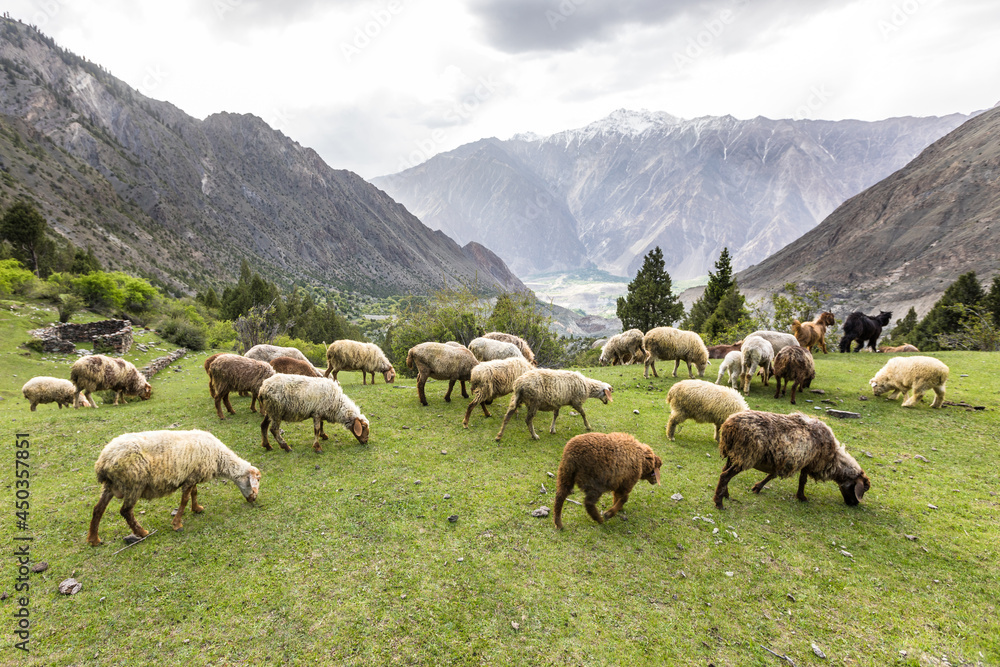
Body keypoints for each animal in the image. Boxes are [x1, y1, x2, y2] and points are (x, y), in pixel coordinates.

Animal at [87, 430, 261, 546]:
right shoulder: (190, 478)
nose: (253, 499)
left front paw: (197, 508)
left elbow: (195, 493)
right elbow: (184, 500)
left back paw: (94, 539)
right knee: (125, 511)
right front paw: (177, 524)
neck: (219, 458)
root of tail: (102, 462)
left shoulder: (192, 475)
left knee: (98, 509)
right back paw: (142, 532)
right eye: (255, 481)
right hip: (134, 484)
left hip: (111, 486)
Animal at [713, 411, 870, 510]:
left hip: (734, 454)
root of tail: (729, 425)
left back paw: (725, 495)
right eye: (862, 489)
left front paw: (757, 487)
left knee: (724, 472)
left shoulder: (783, 461)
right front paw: (802, 497)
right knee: (725, 475)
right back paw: (719, 503)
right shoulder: (809, 463)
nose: (854, 504)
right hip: (746, 455)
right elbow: (802, 481)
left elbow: (772, 475)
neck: (834, 458)